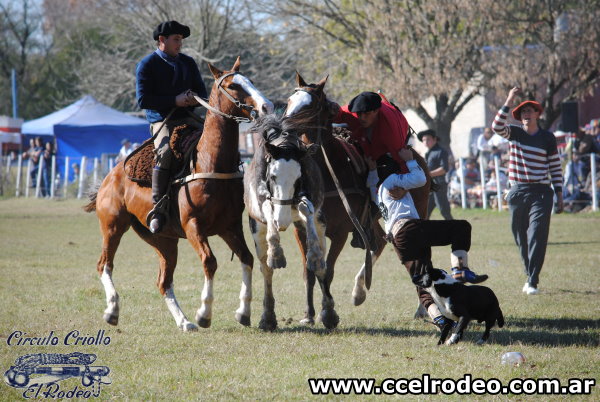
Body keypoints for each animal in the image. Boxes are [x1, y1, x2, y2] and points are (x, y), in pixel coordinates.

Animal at [83, 58, 274, 332]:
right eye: (232, 85)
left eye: (250, 80)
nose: (267, 106)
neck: (210, 162)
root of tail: (110, 178)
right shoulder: (194, 226)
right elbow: (210, 262)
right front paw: (204, 313)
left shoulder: (230, 227)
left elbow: (246, 258)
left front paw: (243, 311)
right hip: (113, 227)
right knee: (104, 265)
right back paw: (112, 310)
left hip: (163, 240)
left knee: (163, 282)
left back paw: (183, 321)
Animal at [243, 115, 338, 330]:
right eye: (272, 176)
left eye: (298, 177)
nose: (282, 220)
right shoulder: (260, 206)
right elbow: (268, 208)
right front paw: (276, 253)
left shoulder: (313, 210)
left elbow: (307, 210)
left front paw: (314, 256)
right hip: (257, 230)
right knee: (266, 270)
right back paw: (268, 318)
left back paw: (328, 313)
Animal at [284, 72, 434, 318]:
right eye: (289, 101)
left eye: (310, 106)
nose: (283, 129)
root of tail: (419, 158)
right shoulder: (301, 230)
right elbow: (309, 272)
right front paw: (308, 314)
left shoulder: (339, 233)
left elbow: (328, 271)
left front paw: (327, 312)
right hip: (371, 219)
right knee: (379, 242)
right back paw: (358, 292)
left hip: (417, 211)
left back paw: (421, 309)